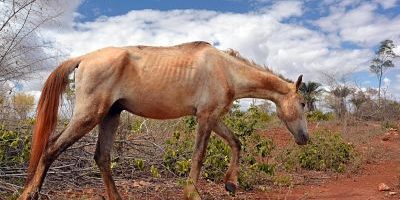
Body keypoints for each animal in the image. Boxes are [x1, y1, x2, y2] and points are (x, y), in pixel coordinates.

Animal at [20, 41, 310, 199]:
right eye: (304, 103)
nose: (305, 138)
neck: (225, 70)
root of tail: (84, 58)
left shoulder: (212, 117)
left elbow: (236, 143)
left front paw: (230, 184)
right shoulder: (206, 118)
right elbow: (199, 156)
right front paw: (193, 193)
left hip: (110, 115)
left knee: (101, 157)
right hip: (88, 116)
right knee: (51, 147)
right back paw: (29, 193)